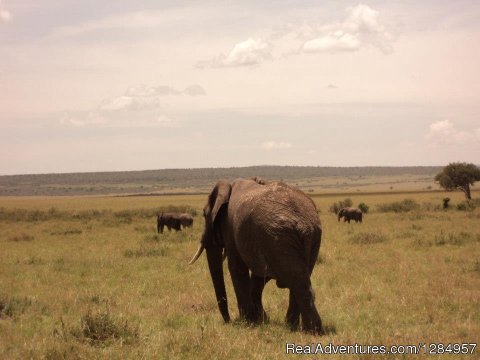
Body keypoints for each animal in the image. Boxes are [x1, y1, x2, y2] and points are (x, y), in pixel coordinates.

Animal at [189, 177, 324, 334]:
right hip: (309, 239)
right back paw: (295, 327)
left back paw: (309, 330)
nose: (229, 321)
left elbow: (236, 268)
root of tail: (304, 225)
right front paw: (261, 320)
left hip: (279, 238)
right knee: (300, 279)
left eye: (204, 215)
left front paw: (247, 322)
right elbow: (258, 278)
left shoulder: (232, 229)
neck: (228, 187)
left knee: (298, 283)